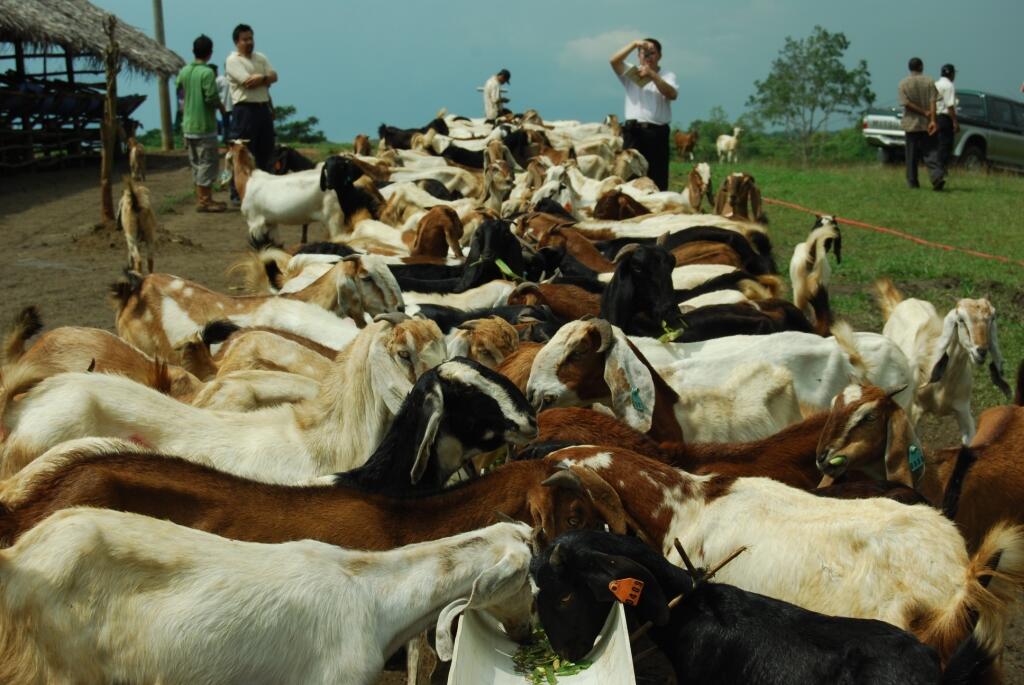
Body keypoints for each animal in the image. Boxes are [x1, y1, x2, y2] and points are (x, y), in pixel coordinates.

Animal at [872, 278, 1007, 444]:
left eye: (992, 318)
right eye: (961, 320)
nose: (981, 351)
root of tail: (902, 302)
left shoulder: (963, 410)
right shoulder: (915, 411)